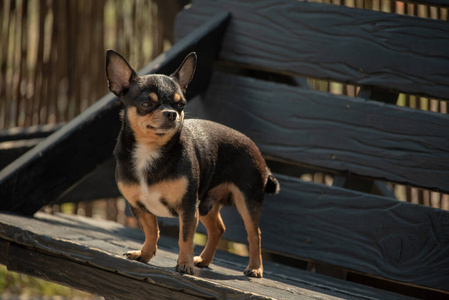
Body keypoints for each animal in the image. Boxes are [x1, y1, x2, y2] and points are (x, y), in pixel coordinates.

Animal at [106, 50, 278, 278]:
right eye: (147, 104)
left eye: (181, 105)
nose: (171, 113)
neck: (150, 150)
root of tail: (256, 149)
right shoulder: (139, 206)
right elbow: (152, 231)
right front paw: (145, 254)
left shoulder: (187, 208)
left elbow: (185, 238)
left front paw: (184, 264)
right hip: (205, 204)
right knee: (218, 229)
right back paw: (204, 260)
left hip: (247, 201)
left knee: (254, 234)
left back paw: (255, 268)